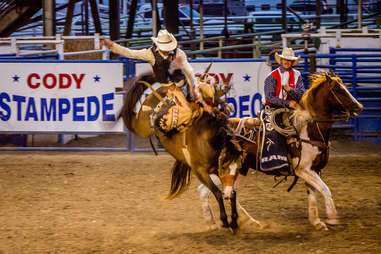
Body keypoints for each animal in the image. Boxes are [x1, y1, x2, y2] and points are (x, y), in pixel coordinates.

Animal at [119, 73, 240, 232]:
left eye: (237, 169)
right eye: (225, 166)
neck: (207, 138)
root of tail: (163, 89)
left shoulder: (215, 170)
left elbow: (232, 193)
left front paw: (234, 220)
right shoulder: (199, 171)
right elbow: (218, 193)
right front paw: (225, 220)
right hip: (142, 126)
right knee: (130, 117)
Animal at [199, 71, 362, 230]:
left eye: (345, 87)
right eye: (339, 89)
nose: (359, 106)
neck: (309, 130)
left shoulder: (314, 169)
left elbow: (313, 193)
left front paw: (316, 221)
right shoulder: (303, 169)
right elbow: (325, 189)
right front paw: (332, 218)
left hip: (241, 170)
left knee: (229, 192)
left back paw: (250, 222)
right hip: (222, 170)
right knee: (206, 191)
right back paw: (212, 222)